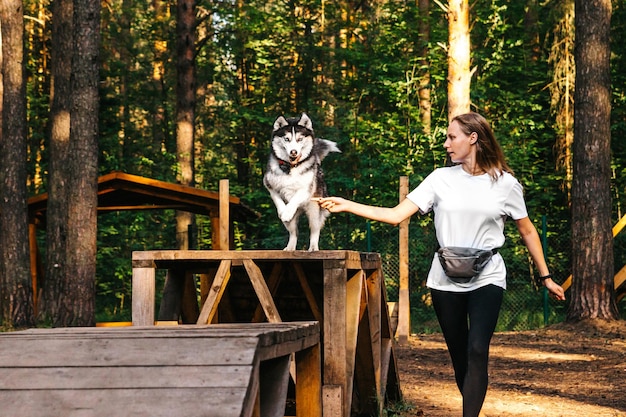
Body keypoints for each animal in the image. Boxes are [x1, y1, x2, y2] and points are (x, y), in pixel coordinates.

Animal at [264, 112, 342, 250]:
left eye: (300, 139)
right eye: (287, 139)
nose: (293, 152)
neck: (291, 168)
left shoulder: (306, 189)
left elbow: (295, 199)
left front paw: (287, 211)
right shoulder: (269, 185)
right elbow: (278, 200)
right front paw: (283, 211)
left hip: (314, 210)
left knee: (315, 230)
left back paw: (313, 248)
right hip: (293, 221)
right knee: (294, 232)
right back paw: (290, 247)